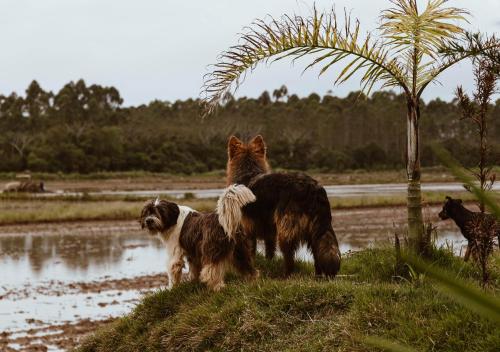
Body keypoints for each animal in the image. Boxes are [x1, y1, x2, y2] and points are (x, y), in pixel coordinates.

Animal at [226, 136, 340, 276]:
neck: (248, 174)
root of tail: (313, 188)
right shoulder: (269, 234)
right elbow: (269, 252)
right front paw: (268, 263)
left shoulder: (248, 231)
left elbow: (251, 253)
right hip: (314, 231)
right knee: (317, 254)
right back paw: (318, 276)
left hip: (286, 231)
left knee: (289, 257)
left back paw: (286, 275)